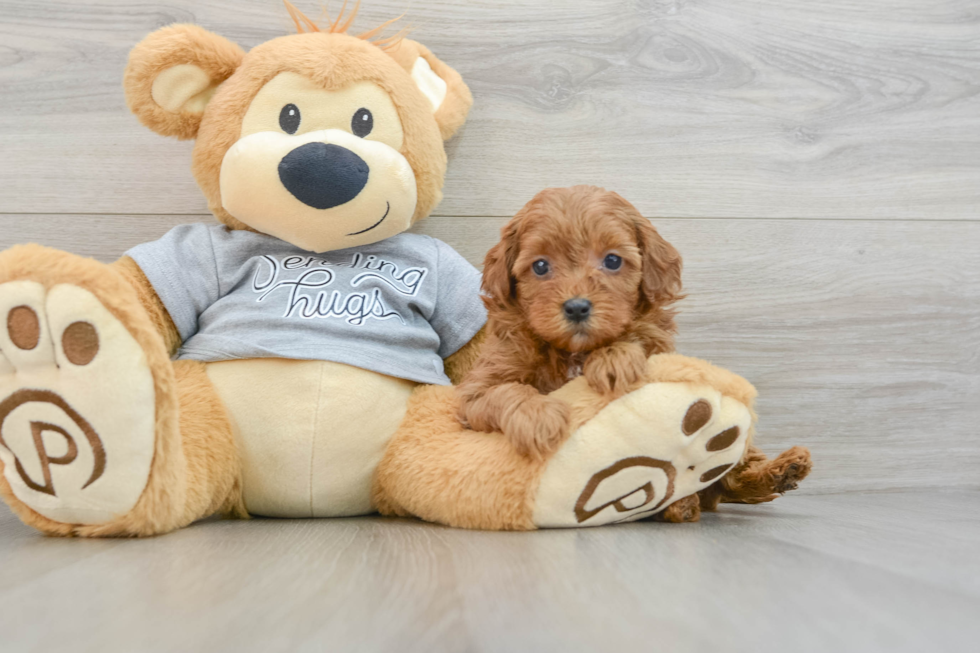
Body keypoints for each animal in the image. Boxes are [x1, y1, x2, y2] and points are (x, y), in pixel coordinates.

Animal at [460, 183, 680, 458]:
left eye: (613, 260)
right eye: (540, 266)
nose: (576, 308)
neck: (572, 352)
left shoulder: (662, 347)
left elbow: (642, 335)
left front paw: (613, 357)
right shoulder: (474, 394)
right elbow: (503, 391)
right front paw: (537, 416)